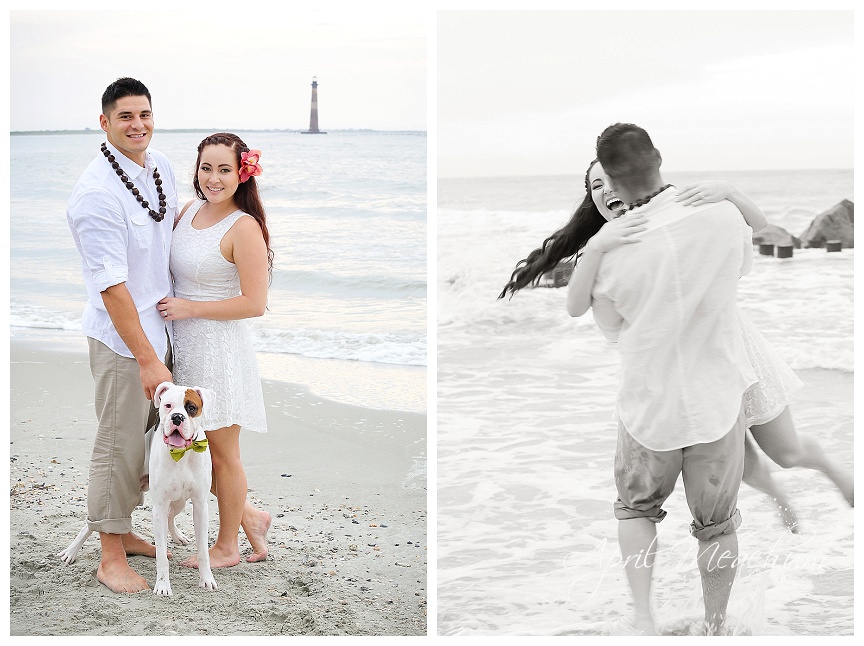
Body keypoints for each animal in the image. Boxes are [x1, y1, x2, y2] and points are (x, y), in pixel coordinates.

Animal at [57, 382, 218, 600]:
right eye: (168, 405)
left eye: (191, 407)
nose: (177, 417)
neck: (181, 455)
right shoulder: (159, 506)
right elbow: (161, 556)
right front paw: (163, 586)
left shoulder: (200, 506)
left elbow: (203, 551)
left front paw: (206, 579)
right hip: (130, 489)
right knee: (94, 522)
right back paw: (71, 551)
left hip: (178, 501)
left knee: (170, 516)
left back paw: (177, 535)